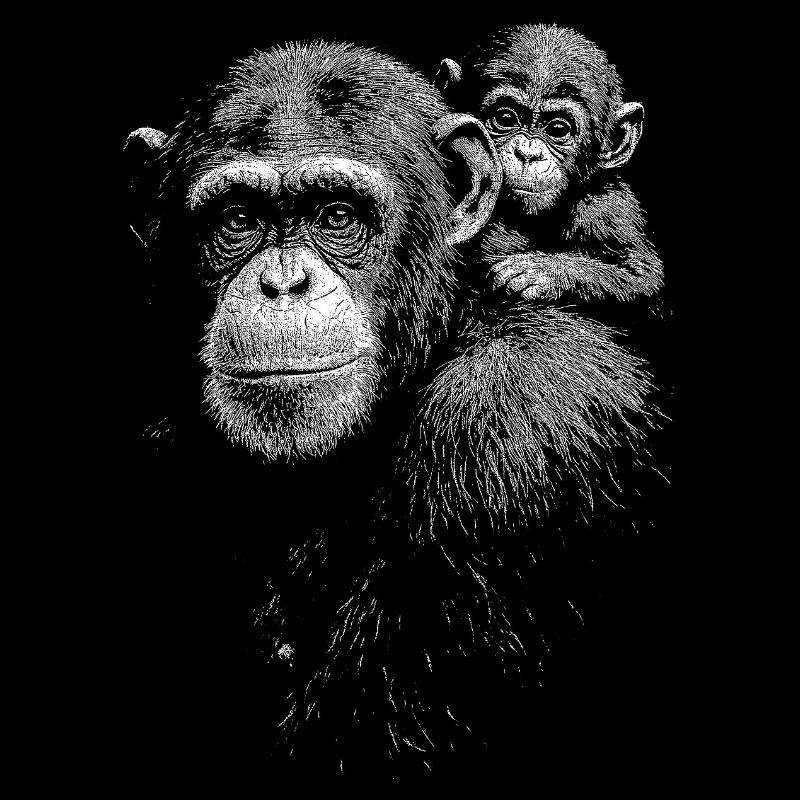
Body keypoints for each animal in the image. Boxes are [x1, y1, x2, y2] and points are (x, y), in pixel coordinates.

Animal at [436, 24, 664, 312]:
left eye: (557, 129)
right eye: (505, 118)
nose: (528, 153)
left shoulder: (609, 209)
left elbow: (640, 273)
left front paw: (540, 271)